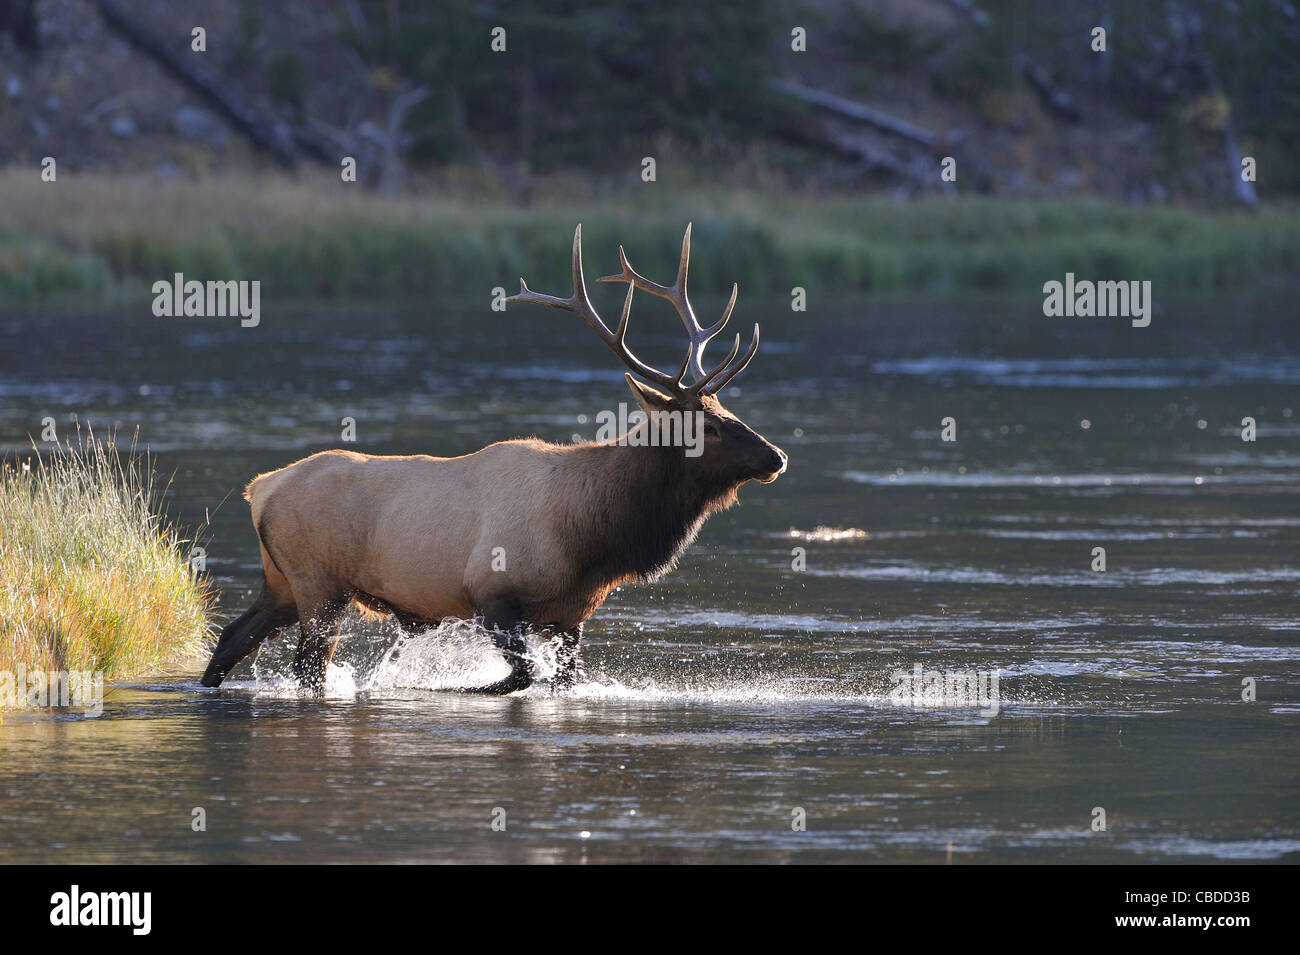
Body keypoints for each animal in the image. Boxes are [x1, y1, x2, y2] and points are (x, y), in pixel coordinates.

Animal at [198, 227, 785, 696]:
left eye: (728, 411)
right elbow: (521, 675)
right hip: (320, 584)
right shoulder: (491, 591)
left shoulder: (571, 617)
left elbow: (561, 680)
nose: (776, 456)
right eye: (707, 426)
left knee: (231, 637)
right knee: (307, 668)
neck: (593, 537)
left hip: (282, 582)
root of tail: (260, 488)